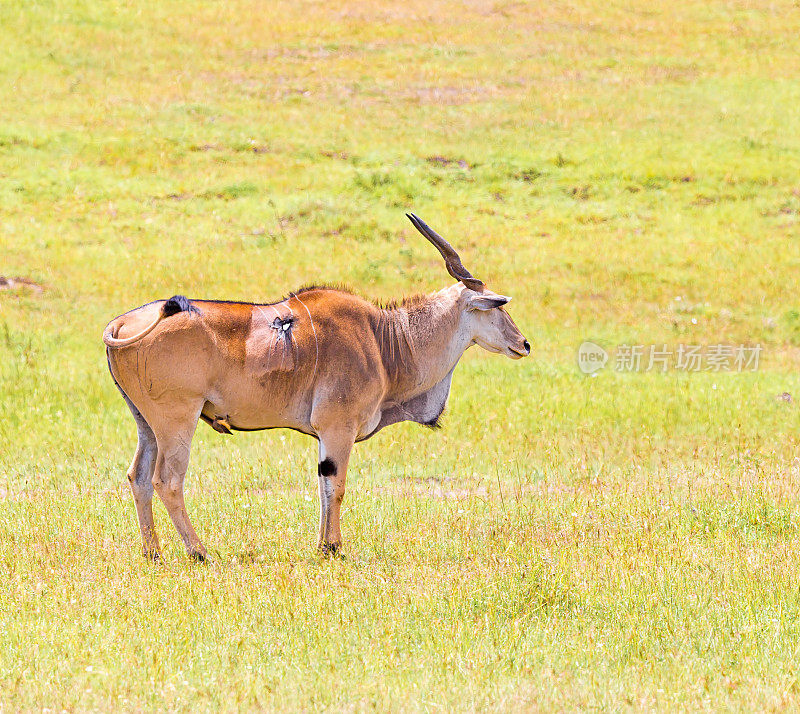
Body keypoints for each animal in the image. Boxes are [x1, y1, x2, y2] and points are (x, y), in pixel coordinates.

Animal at [104, 214, 532, 560]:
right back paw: (199, 552)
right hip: (178, 420)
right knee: (167, 480)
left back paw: (153, 553)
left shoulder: (327, 435)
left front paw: (323, 546)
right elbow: (337, 486)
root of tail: (121, 324)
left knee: (138, 477)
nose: (524, 344)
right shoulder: (338, 427)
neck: (384, 340)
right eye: (498, 306)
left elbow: (324, 486)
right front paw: (333, 548)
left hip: (146, 423)